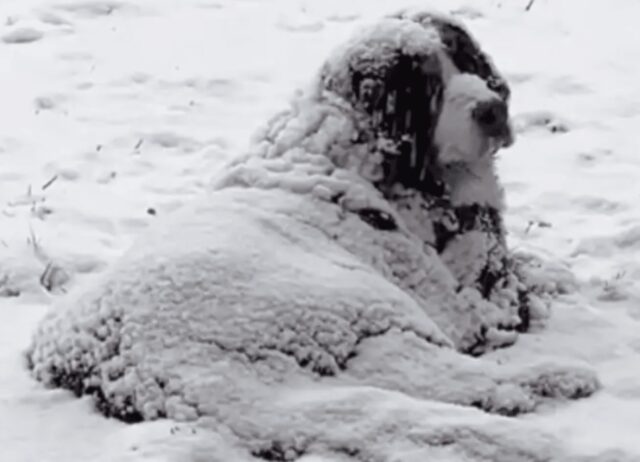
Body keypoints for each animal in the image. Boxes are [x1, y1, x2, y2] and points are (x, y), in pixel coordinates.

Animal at [26, 9, 600, 460]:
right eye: (430, 88)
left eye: (466, 61)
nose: (492, 108)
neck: (353, 138)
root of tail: (147, 356)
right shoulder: (470, 298)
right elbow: (512, 289)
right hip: (363, 301)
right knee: (442, 374)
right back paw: (545, 382)